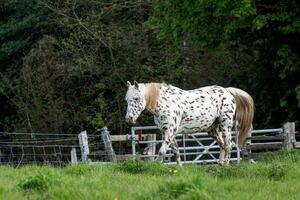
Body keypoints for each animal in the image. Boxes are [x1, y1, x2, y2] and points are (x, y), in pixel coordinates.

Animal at [124, 81, 253, 166]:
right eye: (126, 100)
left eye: (136, 98)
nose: (129, 119)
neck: (165, 102)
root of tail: (227, 92)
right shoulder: (168, 132)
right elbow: (176, 152)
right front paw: (179, 168)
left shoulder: (170, 132)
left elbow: (162, 151)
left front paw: (156, 166)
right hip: (212, 130)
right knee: (222, 144)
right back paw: (220, 165)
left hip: (225, 125)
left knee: (228, 145)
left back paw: (226, 165)